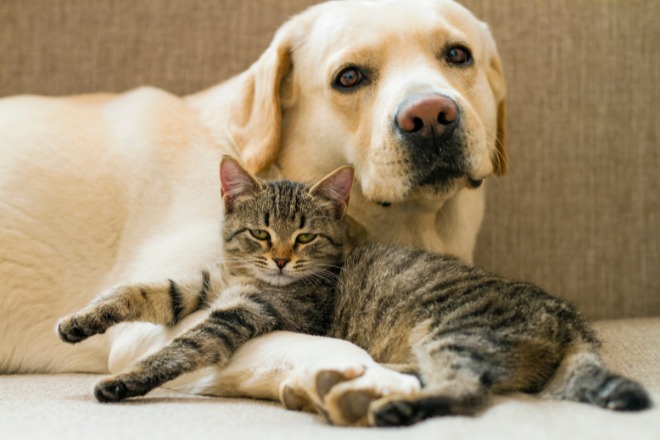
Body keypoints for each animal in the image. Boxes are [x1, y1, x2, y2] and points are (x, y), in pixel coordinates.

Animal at [0, 0, 506, 426]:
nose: (431, 115)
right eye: (349, 77)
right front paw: (367, 375)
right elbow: (299, 339)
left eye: (458, 54)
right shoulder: (147, 331)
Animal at [58, 156, 648, 424]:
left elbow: (183, 345)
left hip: (453, 329)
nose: (281, 259)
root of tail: (566, 314)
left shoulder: (245, 312)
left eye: (305, 237)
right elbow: (143, 291)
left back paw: (396, 408)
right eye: (261, 233)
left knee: (468, 389)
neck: (248, 278)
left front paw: (126, 381)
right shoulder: (204, 286)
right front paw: (80, 320)